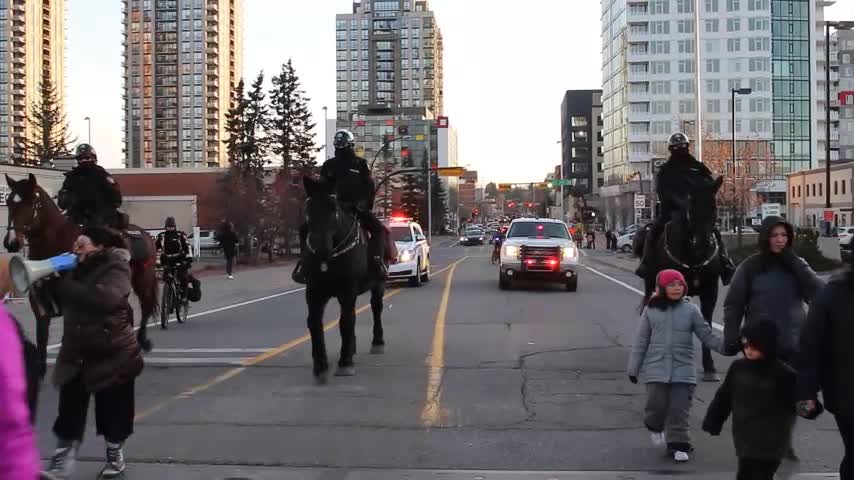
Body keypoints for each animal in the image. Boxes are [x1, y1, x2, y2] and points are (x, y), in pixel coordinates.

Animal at [2, 172, 159, 376]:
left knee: (146, 306)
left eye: (31, 202)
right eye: (9, 202)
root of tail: (144, 234)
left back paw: (141, 342)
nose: (11, 243)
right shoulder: (40, 304)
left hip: (142, 279)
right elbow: (42, 339)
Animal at [304, 175, 388, 382]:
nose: (321, 249)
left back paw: (377, 342)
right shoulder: (313, 291)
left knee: (376, 308)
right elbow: (314, 322)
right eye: (308, 209)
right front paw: (320, 365)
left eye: (333, 209)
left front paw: (345, 362)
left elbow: (345, 322)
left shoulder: (347, 290)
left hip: (378, 284)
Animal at [640, 175, 724, 378]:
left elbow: (706, 323)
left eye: (714, 208)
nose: (702, 244)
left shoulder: (711, 290)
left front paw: (709, 366)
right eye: (691, 209)